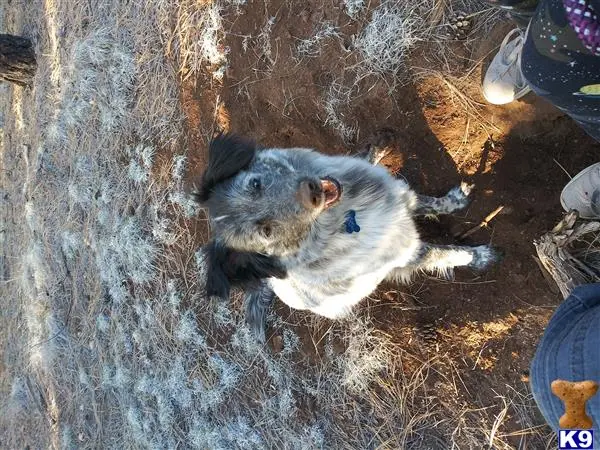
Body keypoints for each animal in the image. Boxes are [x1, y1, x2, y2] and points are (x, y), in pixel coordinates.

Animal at [195, 134, 500, 342]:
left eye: (256, 183)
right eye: (266, 231)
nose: (312, 192)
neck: (345, 218)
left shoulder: (403, 200)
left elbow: (431, 204)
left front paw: (454, 201)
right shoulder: (406, 252)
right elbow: (446, 252)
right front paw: (480, 256)